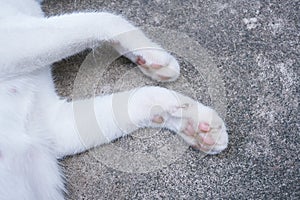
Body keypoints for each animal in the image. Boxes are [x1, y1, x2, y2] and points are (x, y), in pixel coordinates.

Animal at [0, 0, 227, 199]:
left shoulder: (52, 124)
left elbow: (140, 98)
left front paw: (195, 122)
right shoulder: (10, 42)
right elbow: (104, 17)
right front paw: (152, 52)